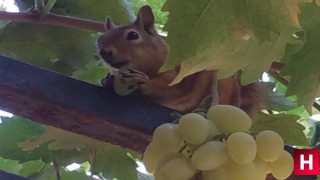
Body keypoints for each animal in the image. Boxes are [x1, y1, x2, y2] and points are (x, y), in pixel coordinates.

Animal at [97, 5, 260, 115]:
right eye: (100, 39)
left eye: (133, 35)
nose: (104, 52)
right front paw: (108, 80)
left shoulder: (181, 75)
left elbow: (171, 89)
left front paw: (143, 81)